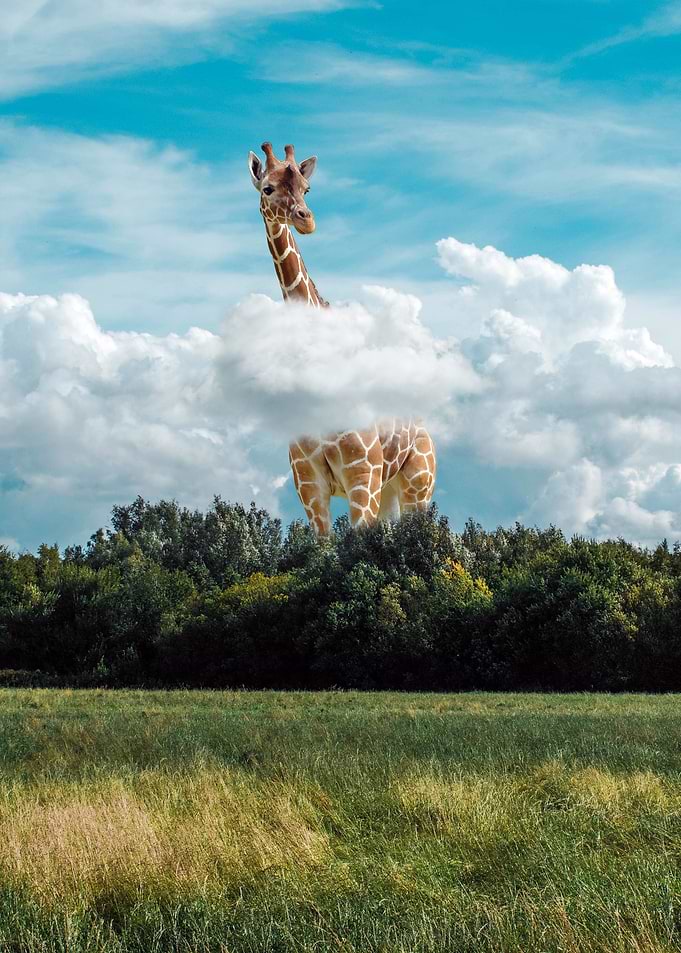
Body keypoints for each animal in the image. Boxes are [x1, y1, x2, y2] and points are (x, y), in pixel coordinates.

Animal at [248, 141, 437, 534]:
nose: (306, 219)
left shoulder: (361, 476)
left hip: (417, 484)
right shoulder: (308, 483)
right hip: (388, 491)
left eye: (307, 189)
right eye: (267, 188)